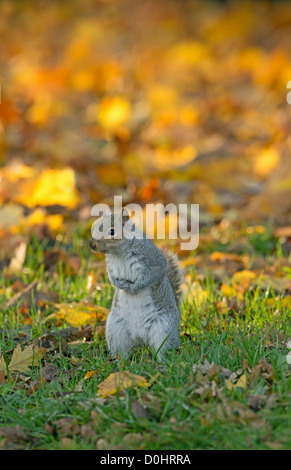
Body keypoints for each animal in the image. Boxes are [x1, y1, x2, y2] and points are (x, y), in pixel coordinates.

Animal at [90, 209, 184, 360]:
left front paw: (134, 287)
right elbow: (111, 278)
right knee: (122, 351)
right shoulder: (111, 267)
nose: (92, 245)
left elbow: (151, 275)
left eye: (112, 231)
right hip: (115, 330)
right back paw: (120, 362)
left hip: (164, 328)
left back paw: (162, 362)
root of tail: (140, 337)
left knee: (163, 349)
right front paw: (119, 285)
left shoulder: (153, 261)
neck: (119, 254)